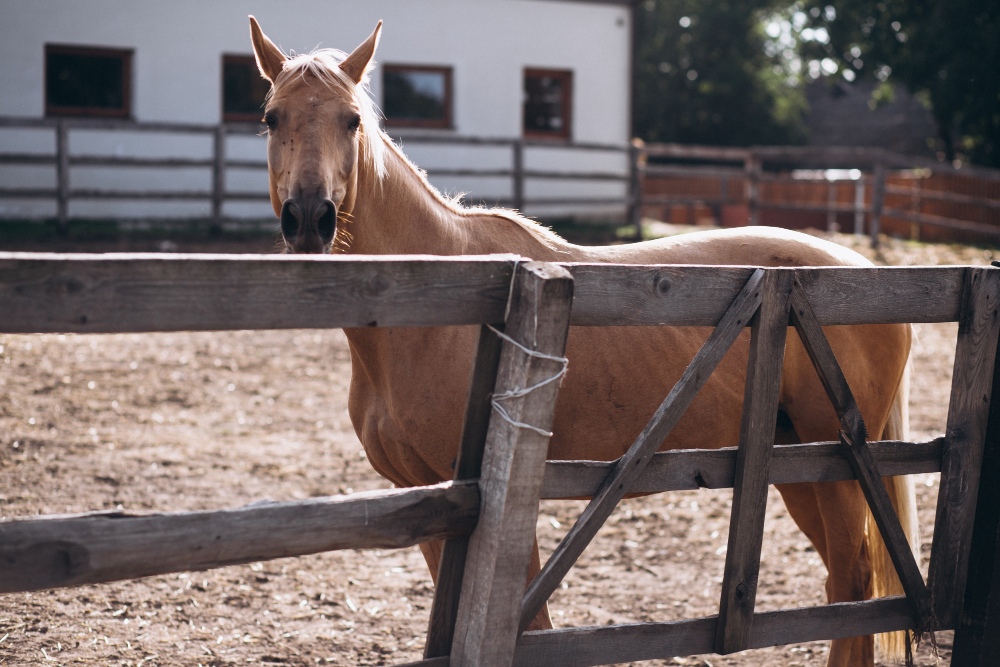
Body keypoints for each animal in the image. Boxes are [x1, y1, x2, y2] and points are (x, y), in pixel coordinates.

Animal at [247, 17, 917, 667]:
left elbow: (532, 624)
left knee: (854, 580)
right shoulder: (427, 501)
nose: (309, 218)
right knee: (844, 586)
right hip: (797, 464)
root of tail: (865, 270)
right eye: (272, 117)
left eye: (351, 120)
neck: (450, 304)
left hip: (836, 468)